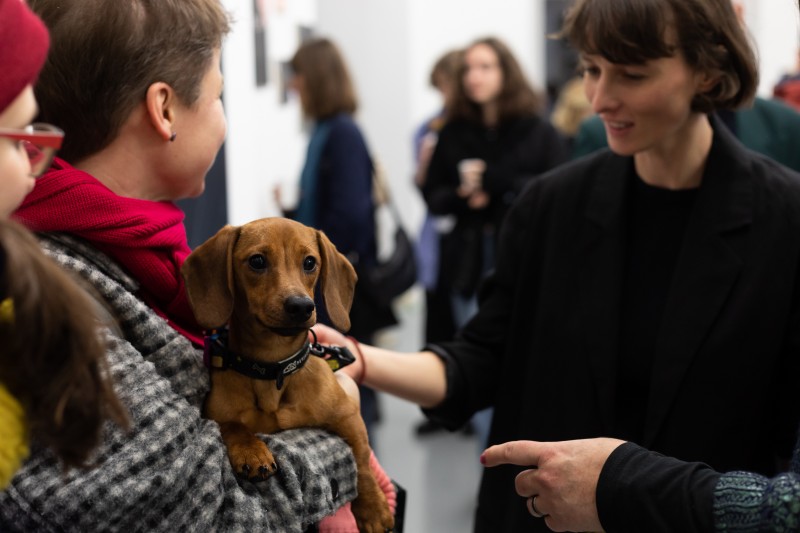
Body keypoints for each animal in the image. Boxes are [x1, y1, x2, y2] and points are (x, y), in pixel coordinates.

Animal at [181, 217, 394, 532]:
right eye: (257, 261)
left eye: (310, 262)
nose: (301, 306)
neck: (274, 368)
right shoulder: (217, 414)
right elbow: (233, 426)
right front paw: (252, 450)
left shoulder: (348, 416)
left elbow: (362, 461)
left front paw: (373, 508)